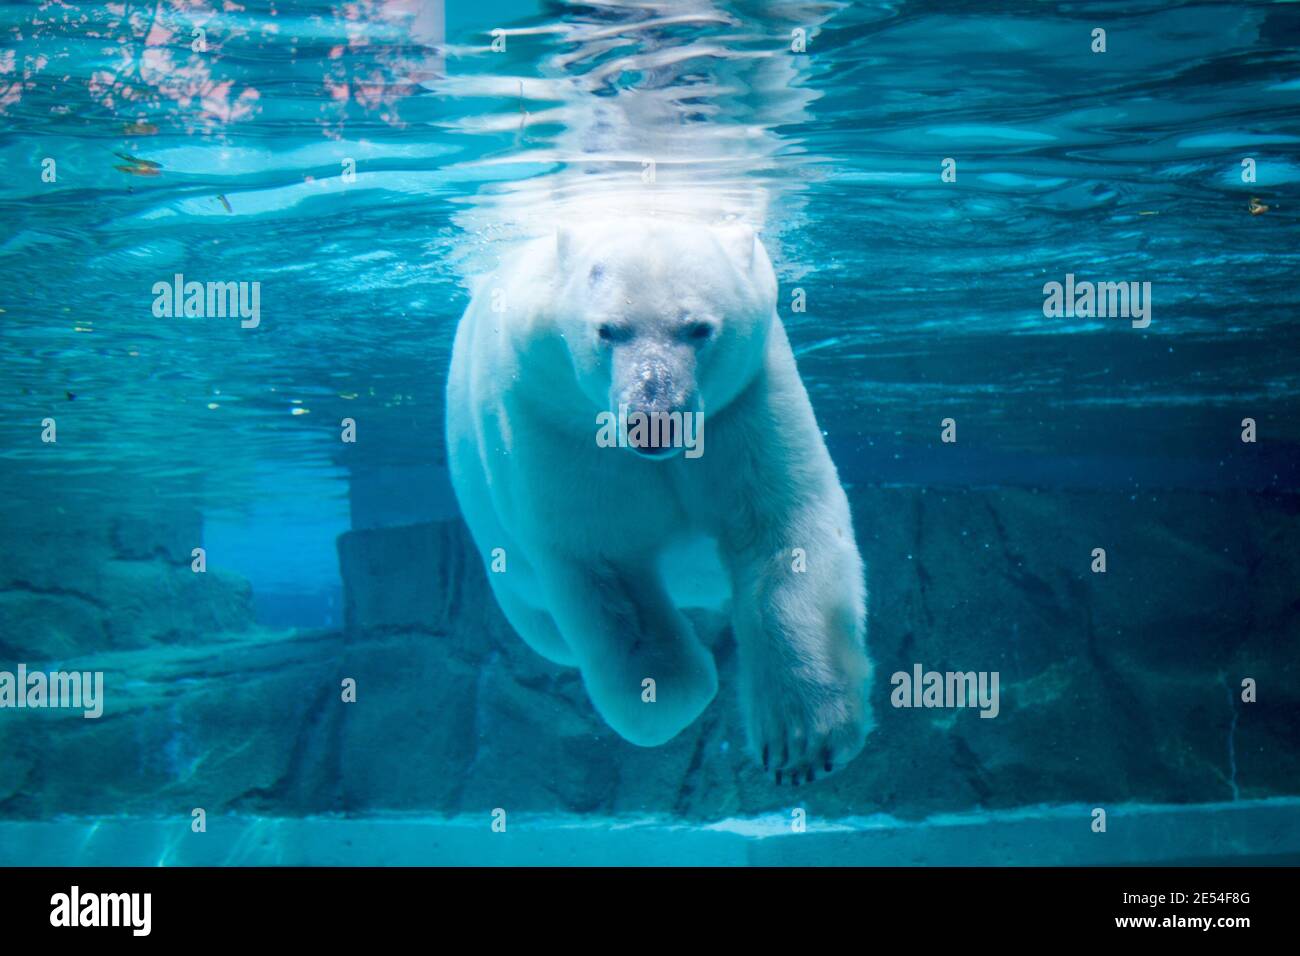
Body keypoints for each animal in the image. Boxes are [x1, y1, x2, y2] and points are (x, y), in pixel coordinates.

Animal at [447, 218, 873, 785]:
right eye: (608, 330)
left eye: (698, 328)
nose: (652, 418)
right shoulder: (551, 418)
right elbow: (602, 566)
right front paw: (680, 690)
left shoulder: (746, 398)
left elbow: (781, 528)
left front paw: (801, 745)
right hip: (506, 567)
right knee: (543, 624)